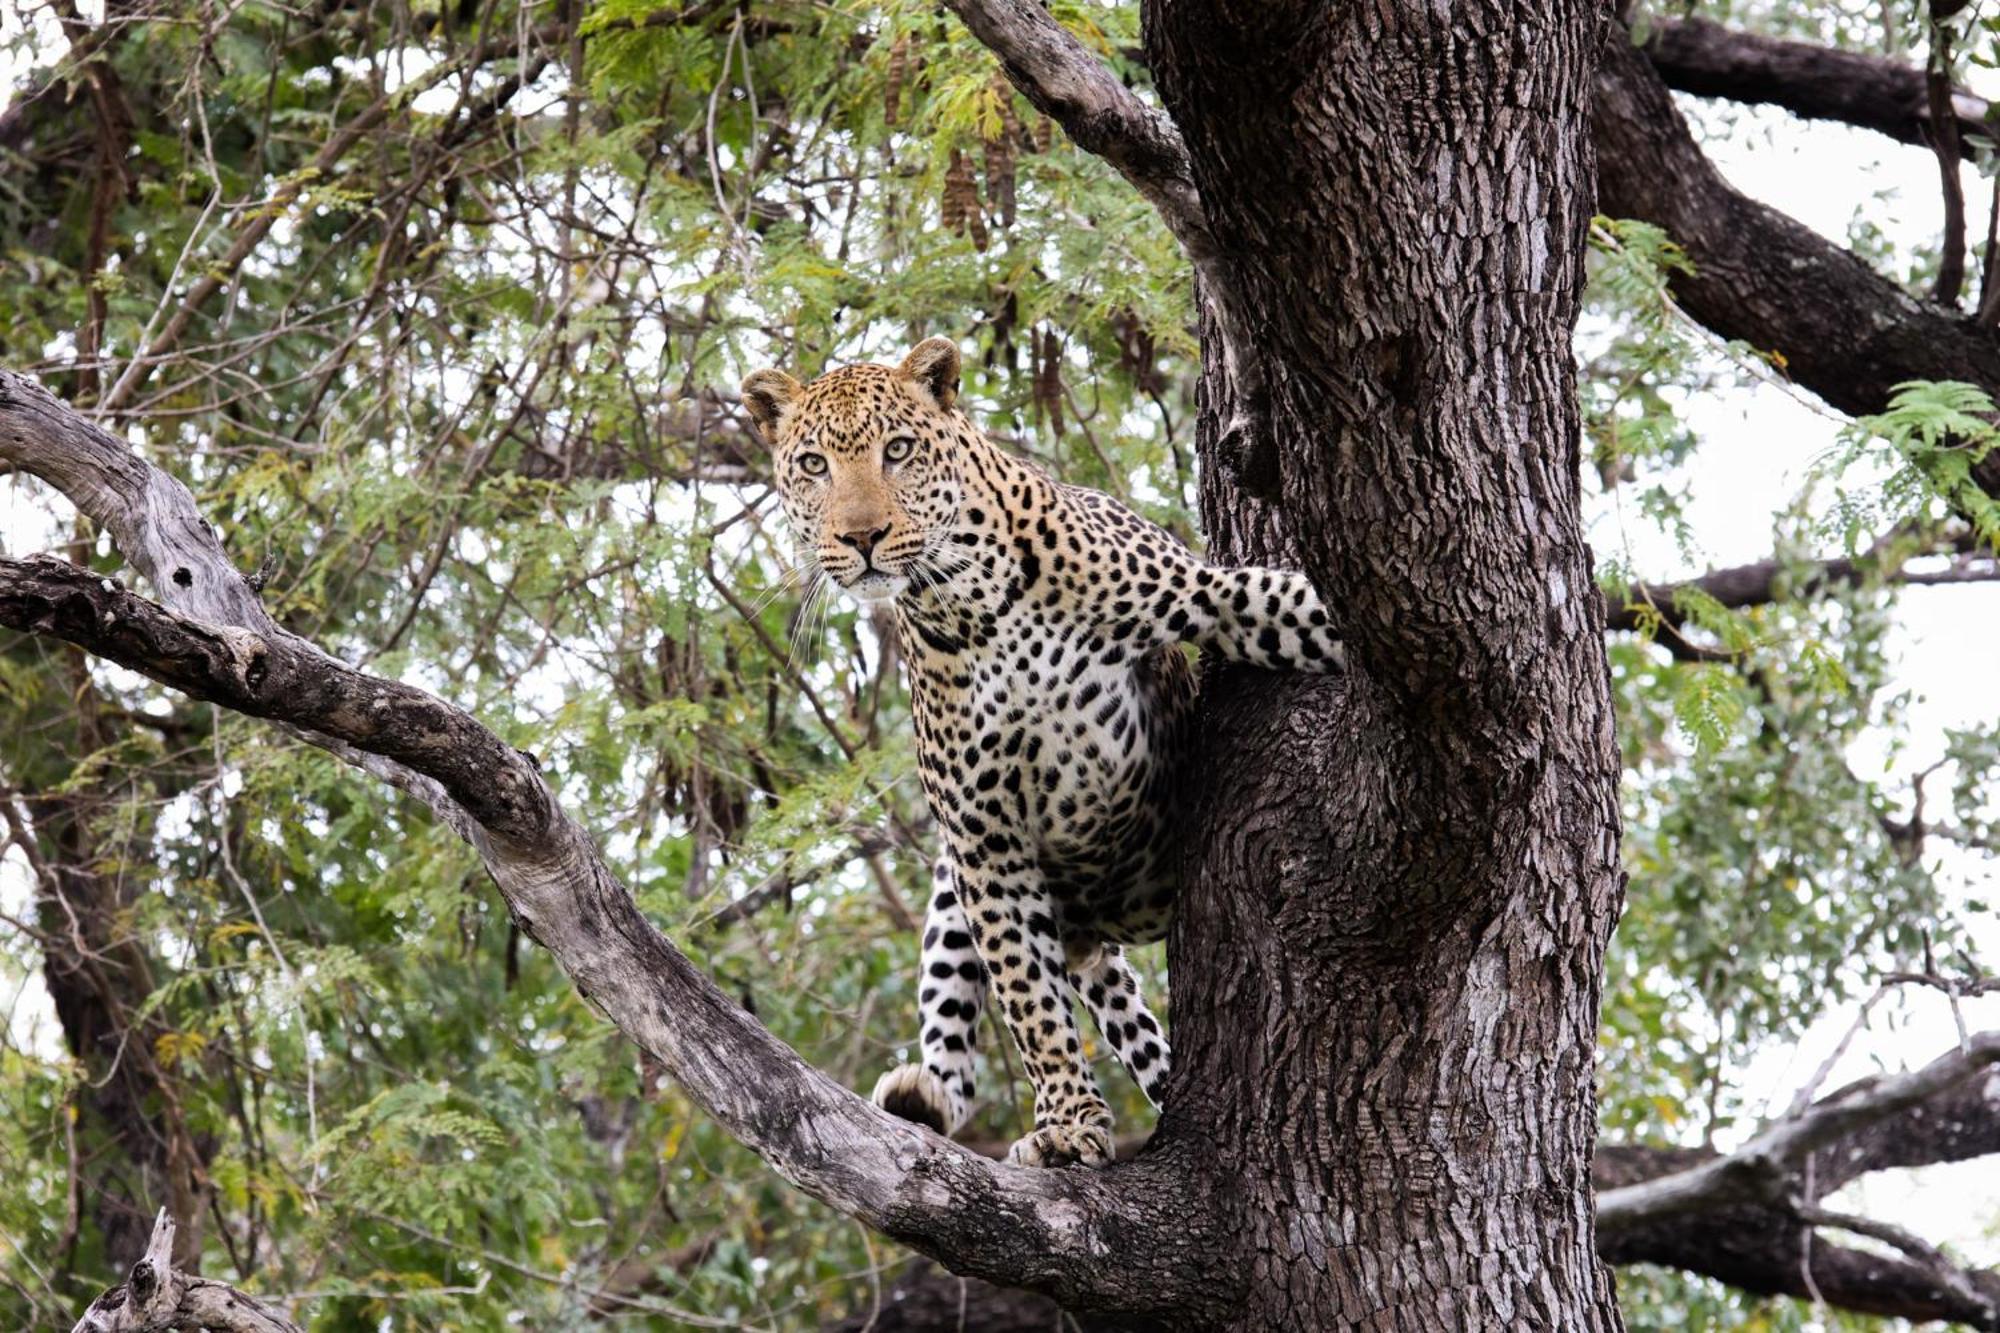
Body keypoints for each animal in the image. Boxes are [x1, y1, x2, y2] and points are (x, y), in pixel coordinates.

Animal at [748, 334, 1344, 1160]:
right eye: (813, 465)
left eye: (897, 450)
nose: (859, 538)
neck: (970, 599)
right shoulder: (984, 838)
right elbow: (1028, 995)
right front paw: (1067, 1122)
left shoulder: (1224, 599)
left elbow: (1306, 607)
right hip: (953, 884)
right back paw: (923, 1095)